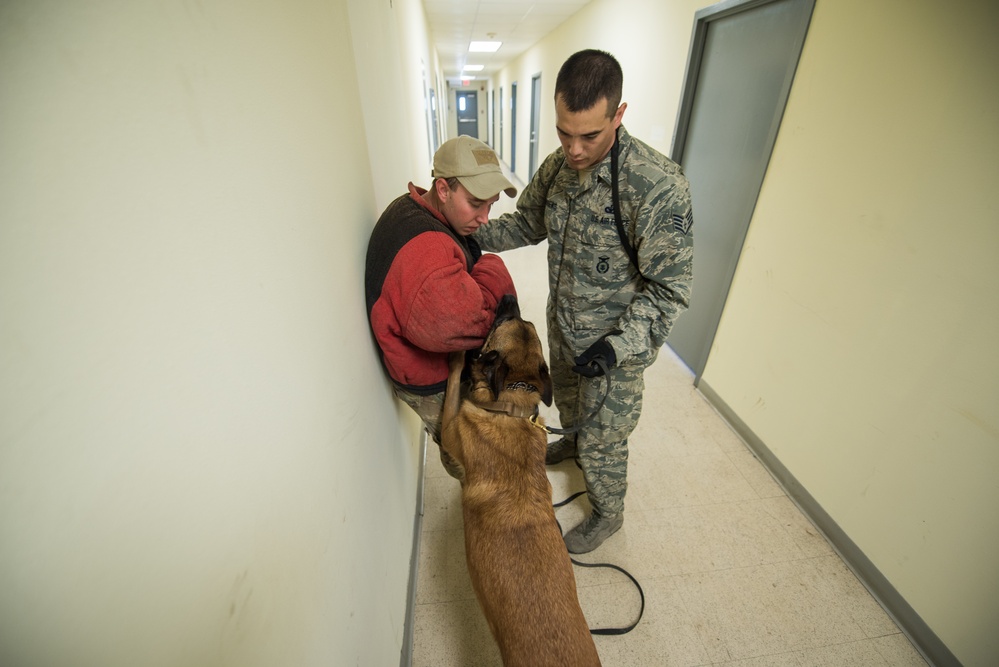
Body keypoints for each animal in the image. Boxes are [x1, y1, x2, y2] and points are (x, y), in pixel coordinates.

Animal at [442, 298, 596, 667]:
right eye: (525, 321)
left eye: (503, 321)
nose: (509, 299)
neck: (511, 404)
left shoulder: (449, 428)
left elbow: (453, 387)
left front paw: (457, 358)